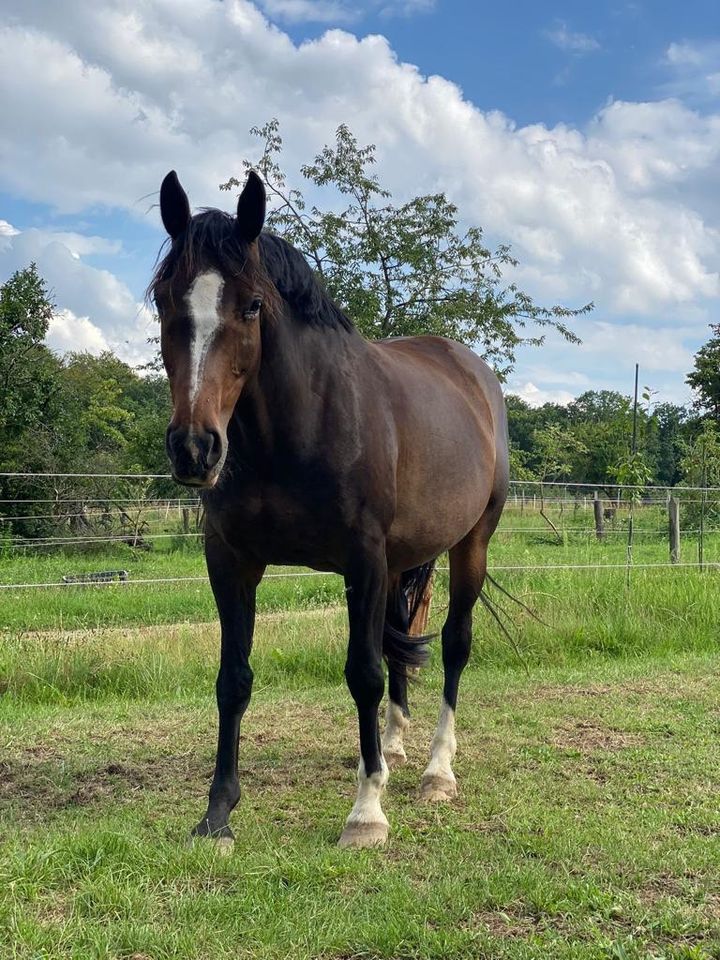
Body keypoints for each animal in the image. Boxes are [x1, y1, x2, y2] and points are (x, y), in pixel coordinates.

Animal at [150, 171, 512, 848]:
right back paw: (392, 749)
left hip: (470, 544)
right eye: (163, 300)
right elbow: (233, 680)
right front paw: (217, 814)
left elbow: (362, 673)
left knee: (454, 645)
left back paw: (436, 771)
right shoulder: (230, 562)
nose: (195, 448)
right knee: (400, 647)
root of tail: (473, 372)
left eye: (252, 305)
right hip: (402, 563)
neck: (299, 428)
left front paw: (366, 813)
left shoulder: (362, 561)